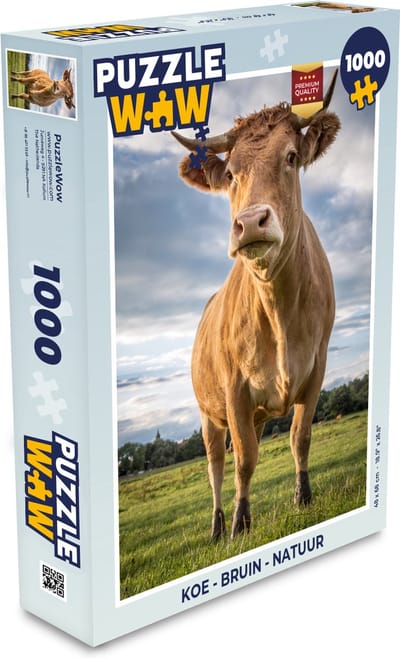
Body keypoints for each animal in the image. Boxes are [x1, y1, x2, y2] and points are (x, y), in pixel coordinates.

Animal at [172, 70, 340, 541]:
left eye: (291, 156)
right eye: (230, 173)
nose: (249, 223)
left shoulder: (317, 368)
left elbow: (300, 436)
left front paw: (303, 497)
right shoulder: (233, 390)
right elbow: (244, 460)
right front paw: (238, 524)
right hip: (208, 415)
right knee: (215, 465)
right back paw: (215, 526)